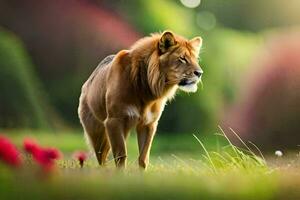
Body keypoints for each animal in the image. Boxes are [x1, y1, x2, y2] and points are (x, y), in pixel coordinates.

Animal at [78, 30, 203, 169]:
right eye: (182, 58)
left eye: (196, 59)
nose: (200, 73)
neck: (145, 90)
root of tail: (87, 82)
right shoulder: (114, 121)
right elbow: (121, 155)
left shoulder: (148, 124)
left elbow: (143, 158)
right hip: (98, 133)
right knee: (102, 159)